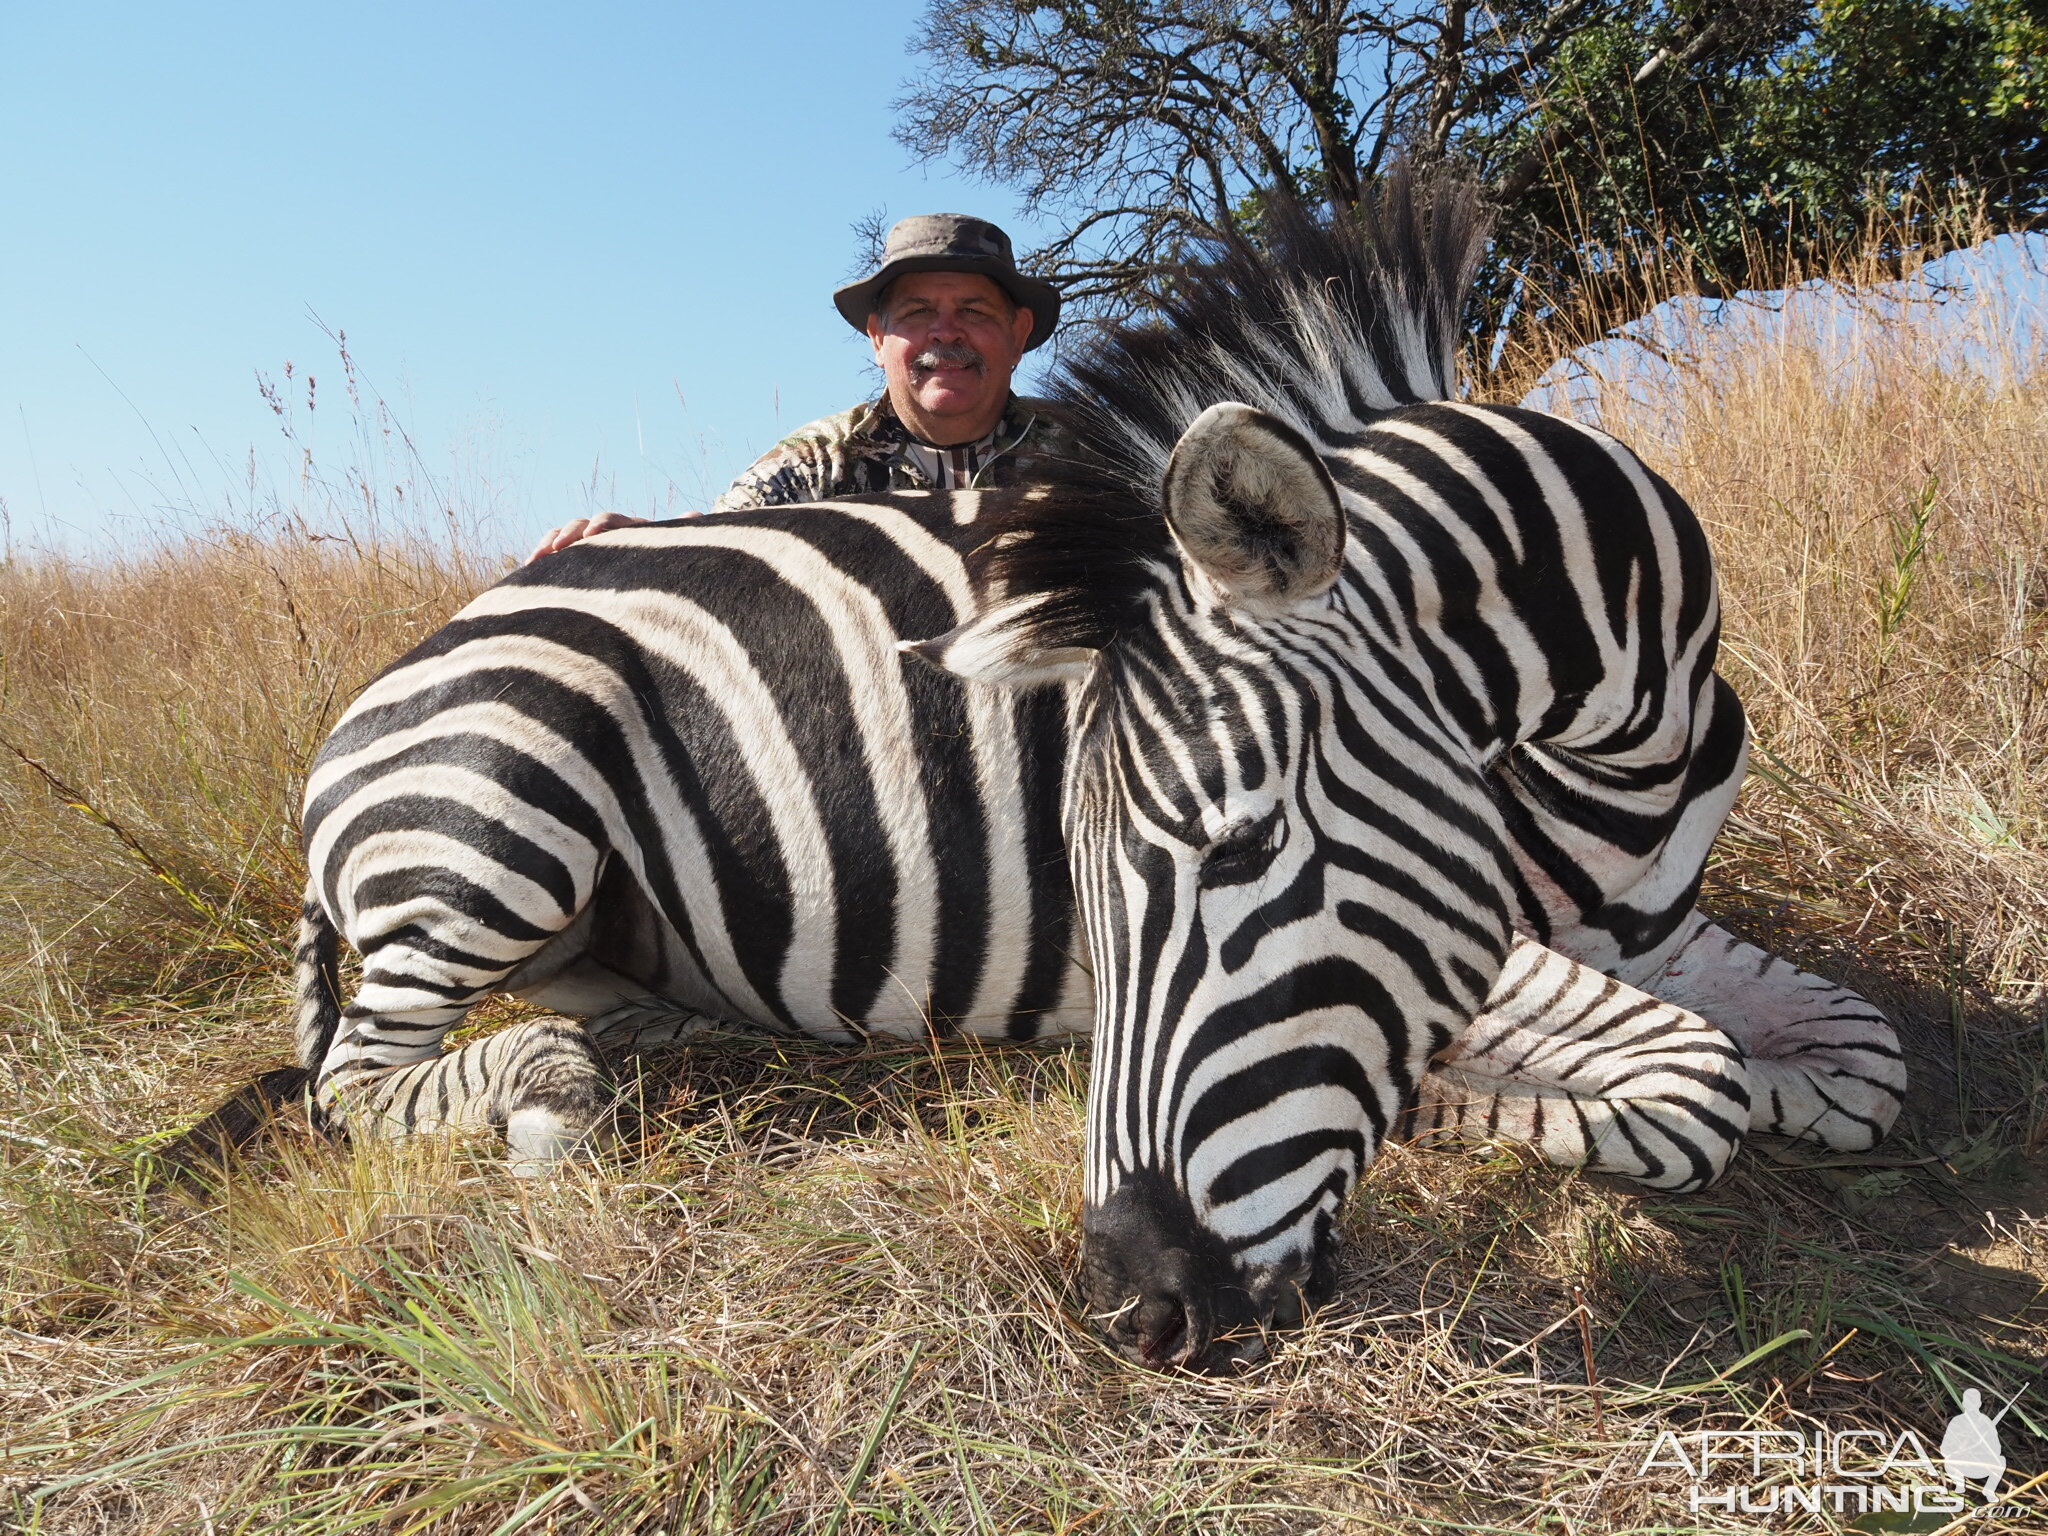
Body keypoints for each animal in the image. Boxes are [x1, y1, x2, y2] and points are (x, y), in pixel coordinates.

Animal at [184, 167, 1908, 1368]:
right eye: (1098, 879)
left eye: (1237, 853)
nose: (1141, 1310)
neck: (1617, 743)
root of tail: (392, 684)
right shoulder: (1484, 943)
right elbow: (1693, 1085)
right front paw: (1455, 1100)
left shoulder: (1648, 918)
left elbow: (1849, 1065)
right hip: (500, 801)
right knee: (361, 1085)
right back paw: (549, 1094)